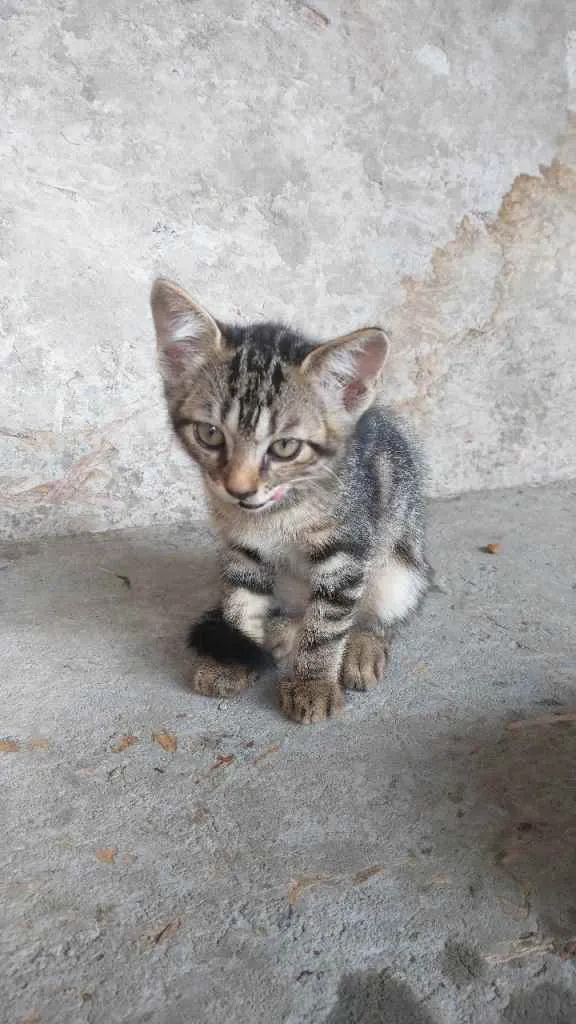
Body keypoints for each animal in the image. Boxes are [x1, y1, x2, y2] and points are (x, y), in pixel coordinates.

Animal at [150, 276, 428, 724]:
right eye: (210, 434)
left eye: (284, 447)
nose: (238, 489)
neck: (277, 512)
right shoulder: (241, 547)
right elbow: (240, 598)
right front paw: (233, 655)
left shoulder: (346, 551)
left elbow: (328, 623)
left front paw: (312, 683)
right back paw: (281, 632)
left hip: (400, 566)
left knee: (374, 609)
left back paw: (363, 644)